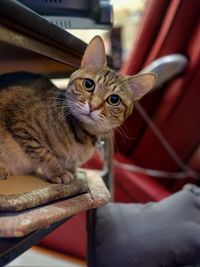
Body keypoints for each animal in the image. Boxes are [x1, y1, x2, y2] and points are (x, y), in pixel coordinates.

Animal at [0, 36, 156, 184]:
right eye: (88, 84)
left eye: (114, 99)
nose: (93, 106)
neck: (82, 135)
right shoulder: (21, 123)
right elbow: (44, 152)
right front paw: (57, 171)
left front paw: (69, 169)